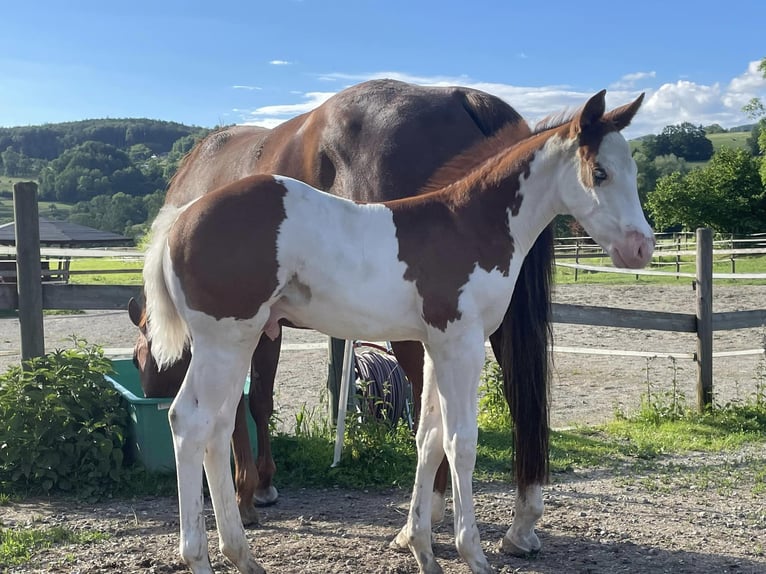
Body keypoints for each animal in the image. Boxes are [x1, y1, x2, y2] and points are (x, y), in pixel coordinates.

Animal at [144, 91, 656, 574]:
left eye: (633, 170)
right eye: (600, 172)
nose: (641, 247)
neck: (469, 224)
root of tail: (180, 219)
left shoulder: (433, 346)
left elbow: (428, 438)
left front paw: (423, 549)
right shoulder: (459, 344)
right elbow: (459, 441)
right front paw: (471, 554)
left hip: (239, 341)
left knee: (216, 428)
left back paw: (241, 555)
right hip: (224, 341)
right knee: (189, 422)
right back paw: (200, 558)